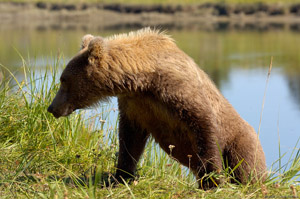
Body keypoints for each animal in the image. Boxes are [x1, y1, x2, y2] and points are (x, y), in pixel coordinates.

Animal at [48, 27, 266, 189]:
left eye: (63, 80)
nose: (51, 107)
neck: (144, 80)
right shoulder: (136, 105)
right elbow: (130, 140)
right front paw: (121, 176)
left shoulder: (178, 91)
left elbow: (204, 127)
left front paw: (212, 182)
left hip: (242, 140)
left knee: (246, 166)